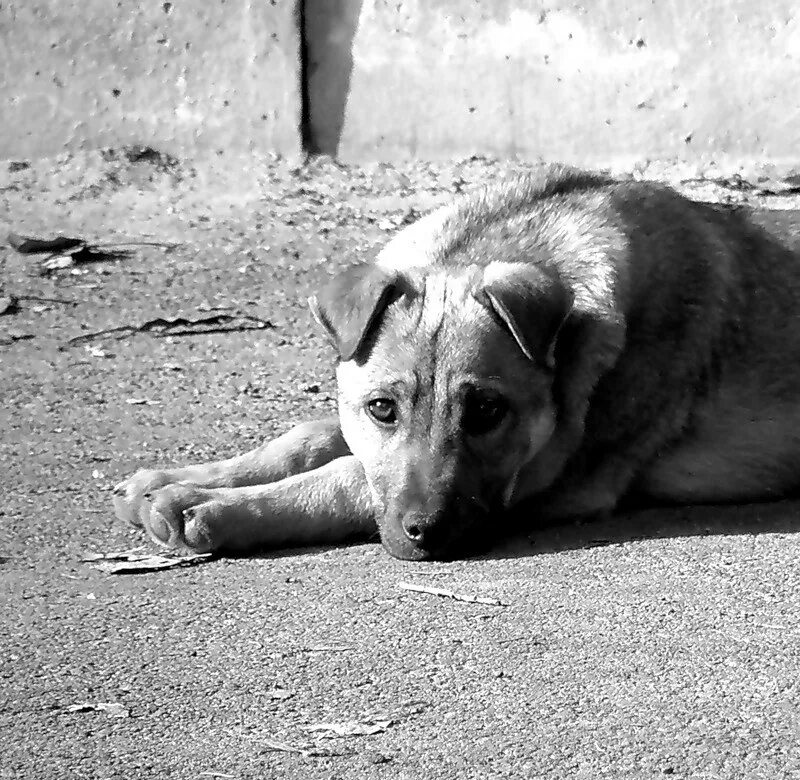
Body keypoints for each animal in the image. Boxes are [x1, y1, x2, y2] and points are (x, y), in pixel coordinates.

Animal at [111, 166, 800, 560]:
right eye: (382, 408)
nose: (427, 535)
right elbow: (310, 437)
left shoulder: (554, 478)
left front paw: (214, 506)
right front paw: (180, 478)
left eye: (488, 411)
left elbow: (342, 477)